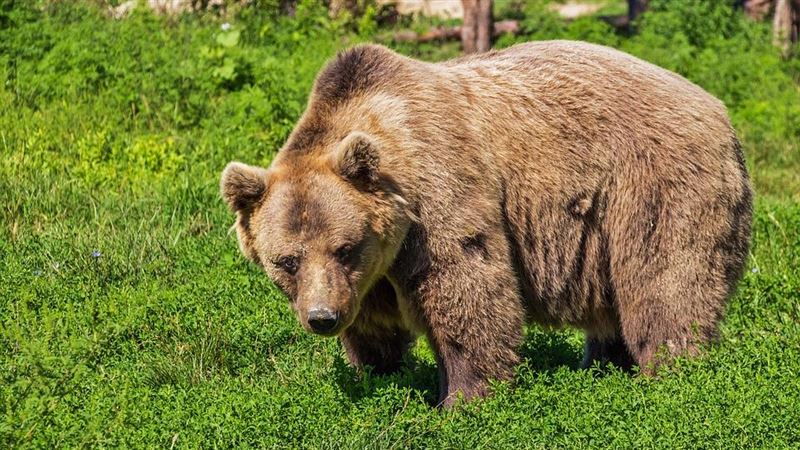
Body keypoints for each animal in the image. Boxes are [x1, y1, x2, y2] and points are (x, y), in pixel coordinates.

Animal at [220, 41, 752, 407]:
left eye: (344, 247)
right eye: (286, 260)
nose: (322, 318)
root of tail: (720, 110)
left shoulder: (438, 196)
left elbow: (467, 289)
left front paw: (462, 399)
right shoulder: (370, 275)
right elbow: (374, 326)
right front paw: (379, 374)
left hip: (653, 186)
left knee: (665, 284)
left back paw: (671, 373)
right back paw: (602, 366)